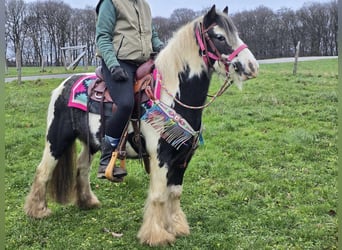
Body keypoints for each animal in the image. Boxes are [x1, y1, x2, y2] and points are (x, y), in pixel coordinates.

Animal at [24, 5, 260, 246]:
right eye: (220, 37)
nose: (252, 67)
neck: (171, 95)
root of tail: (64, 84)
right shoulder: (161, 158)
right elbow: (158, 195)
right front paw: (156, 235)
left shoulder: (183, 158)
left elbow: (175, 193)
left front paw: (177, 227)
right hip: (56, 139)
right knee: (43, 171)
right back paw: (38, 211)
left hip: (90, 143)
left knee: (82, 167)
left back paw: (87, 202)